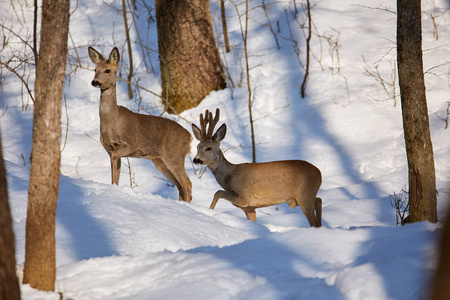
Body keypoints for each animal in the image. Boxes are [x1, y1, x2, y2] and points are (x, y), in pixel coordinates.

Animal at [89, 46, 192, 202]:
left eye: (107, 70)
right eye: (95, 69)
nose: (95, 82)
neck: (112, 122)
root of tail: (190, 137)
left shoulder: (131, 144)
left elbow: (115, 165)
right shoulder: (109, 148)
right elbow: (115, 176)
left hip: (174, 156)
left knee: (187, 185)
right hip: (160, 161)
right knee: (181, 186)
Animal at [192, 109, 322, 226]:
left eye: (208, 148)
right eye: (197, 146)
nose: (196, 160)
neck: (229, 175)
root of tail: (319, 173)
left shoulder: (244, 197)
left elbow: (217, 192)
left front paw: (209, 212)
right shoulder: (250, 207)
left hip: (305, 194)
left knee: (314, 220)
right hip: (298, 197)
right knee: (318, 200)